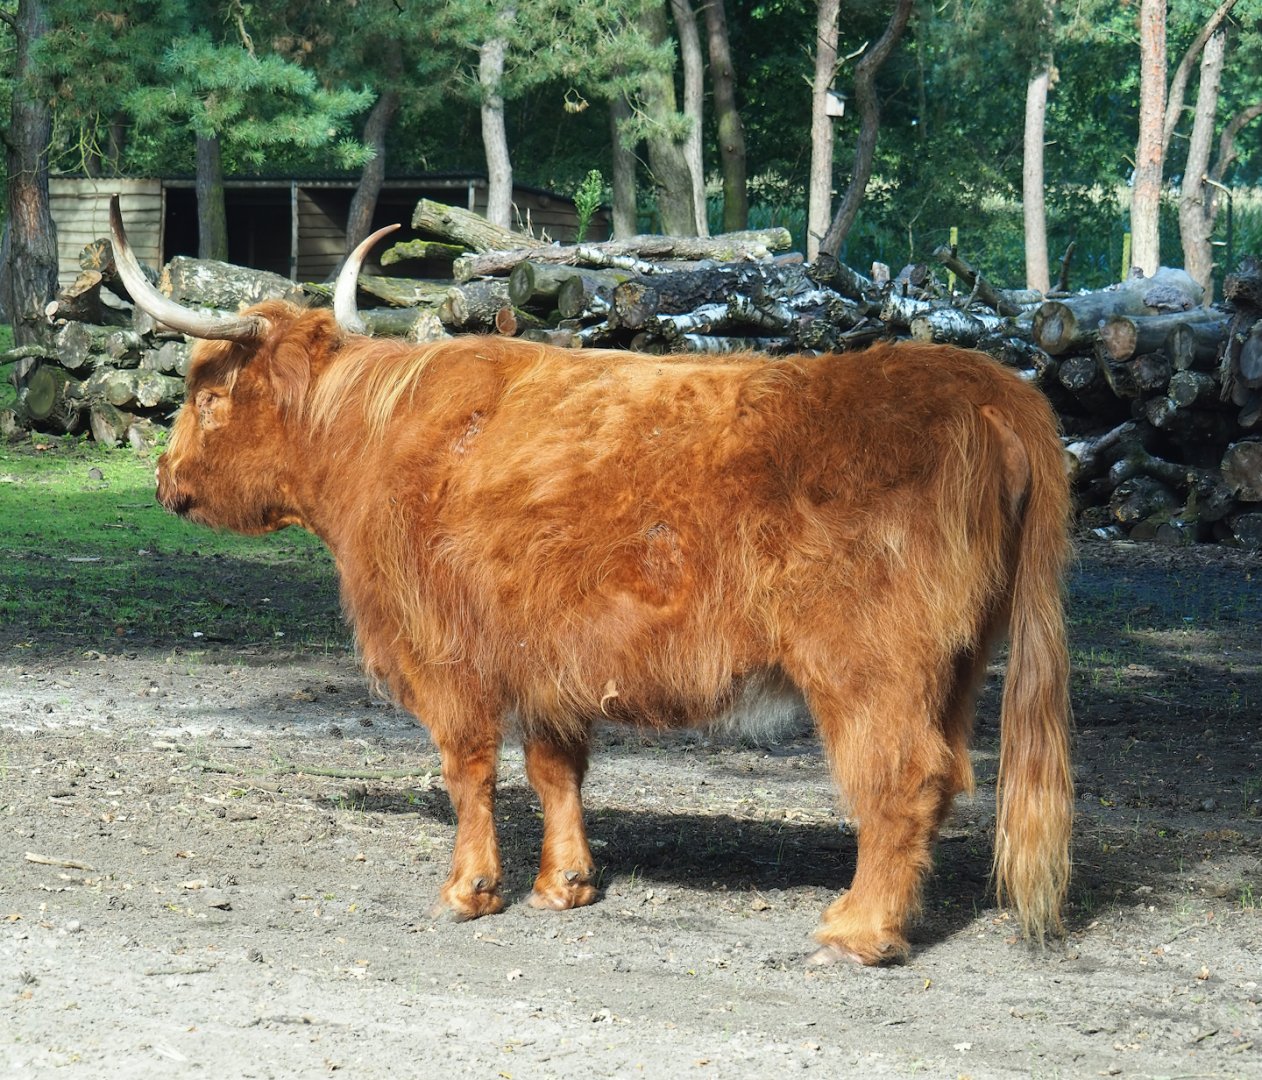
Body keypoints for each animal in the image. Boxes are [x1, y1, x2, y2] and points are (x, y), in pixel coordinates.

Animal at [110, 196, 1072, 966]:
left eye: (204, 398)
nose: (163, 480)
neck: (368, 442)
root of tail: (983, 381)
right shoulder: (547, 653)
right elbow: (554, 768)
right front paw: (564, 884)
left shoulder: (444, 652)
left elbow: (467, 768)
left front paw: (469, 891)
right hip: (958, 661)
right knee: (948, 775)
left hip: (869, 664)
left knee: (901, 778)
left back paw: (857, 931)